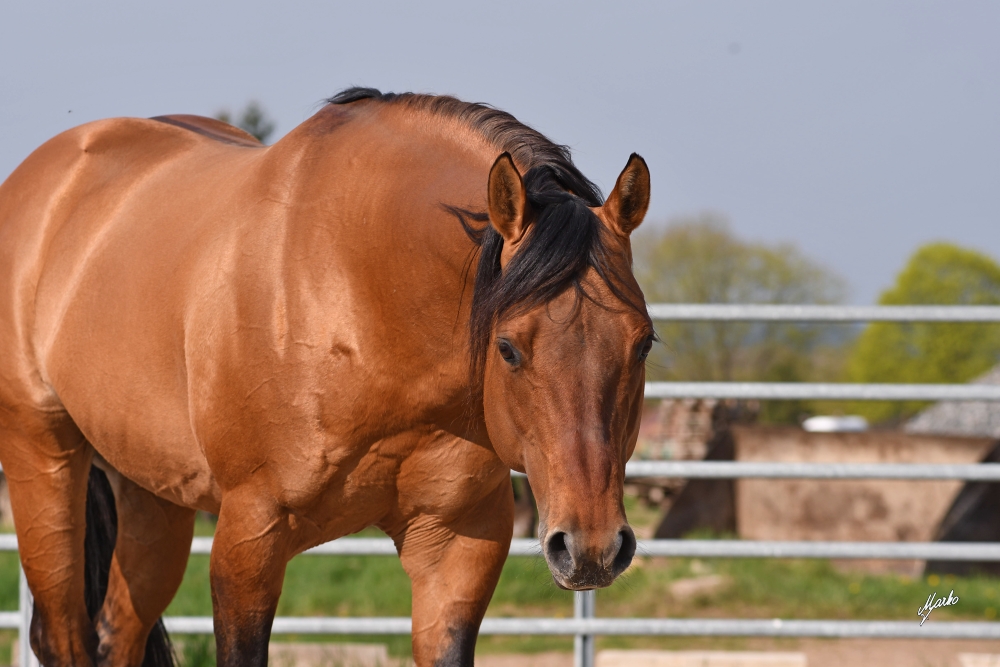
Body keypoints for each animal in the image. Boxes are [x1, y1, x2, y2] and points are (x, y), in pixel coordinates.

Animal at [0, 90, 652, 667]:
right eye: (509, 348)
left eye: (644, 343)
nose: (591, 546)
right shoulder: (248, 538)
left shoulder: (459, 544)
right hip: (44, 459)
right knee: (62, 637)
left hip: (152, 495)